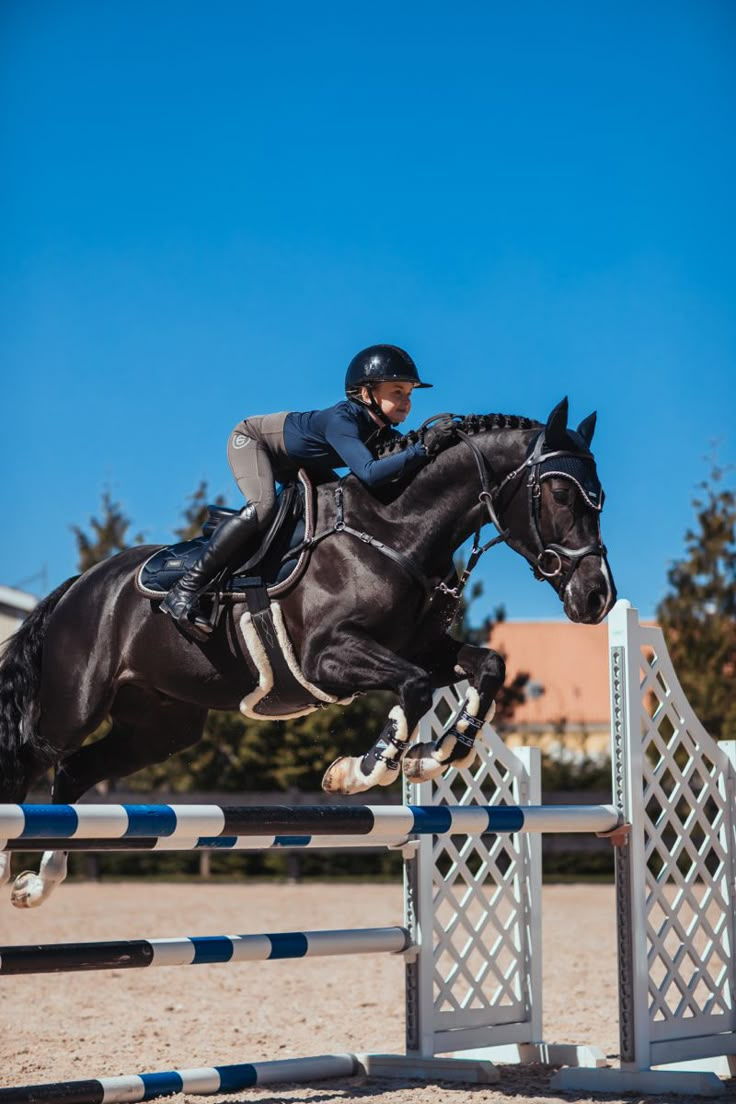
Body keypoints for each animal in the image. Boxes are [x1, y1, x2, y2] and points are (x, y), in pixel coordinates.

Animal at [0, 397, 617, 905]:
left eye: (600, 498)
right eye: (561, 494)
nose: (598, 597)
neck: (395, 530)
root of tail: (79, 586)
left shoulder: (421, 646)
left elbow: (487, 665)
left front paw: (436, 754)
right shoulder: (329, 658)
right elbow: (415, 686)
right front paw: (361, 770)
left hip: (159, 726)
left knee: (75, 772)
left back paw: (38, 883)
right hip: (72, 707)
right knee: (33, 759)